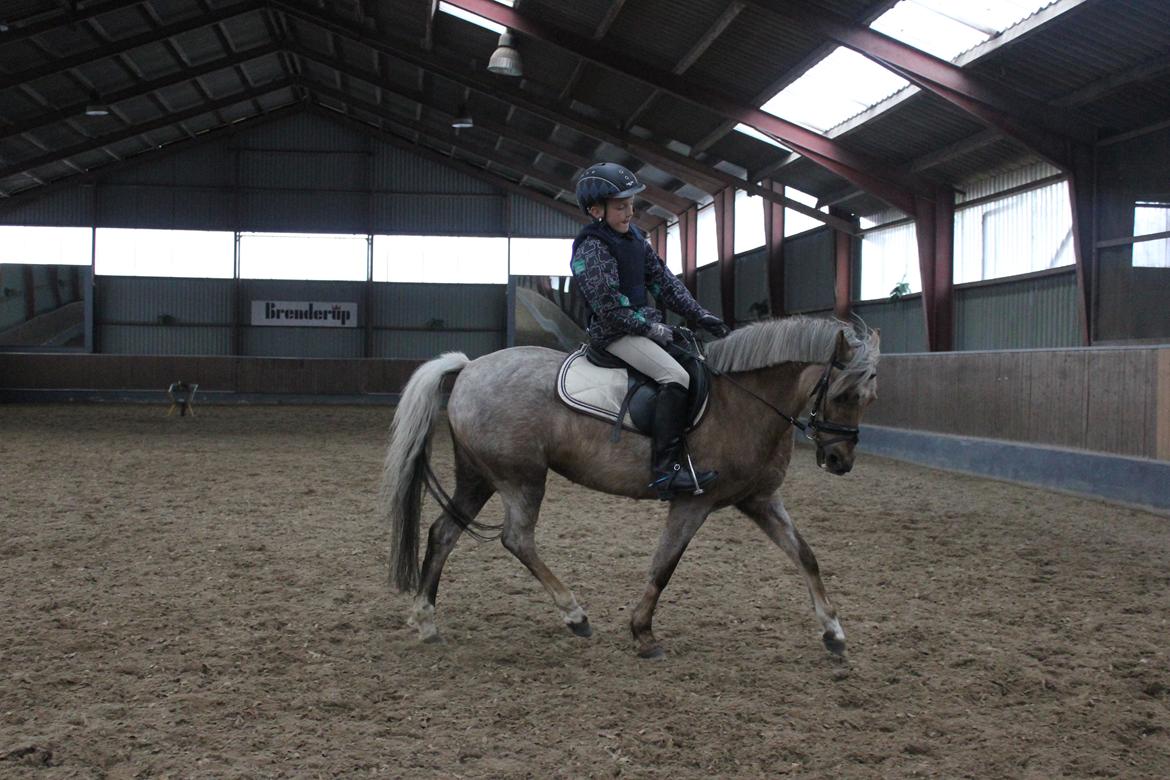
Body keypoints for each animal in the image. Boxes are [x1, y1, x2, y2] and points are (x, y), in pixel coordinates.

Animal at [378, 315, 880, 659]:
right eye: (843, 394)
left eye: (869, 399)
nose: (840, 461)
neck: (743, 403)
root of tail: (467, 368)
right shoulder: (692, 503)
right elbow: (664, 566)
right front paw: (643, 632)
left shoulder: (759, 500)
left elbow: (806, 555)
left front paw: (834, 632)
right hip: (520, 477)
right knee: (516, 538)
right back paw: (574, 614)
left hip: (479, 476)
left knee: (443, 533)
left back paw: (427, 621)